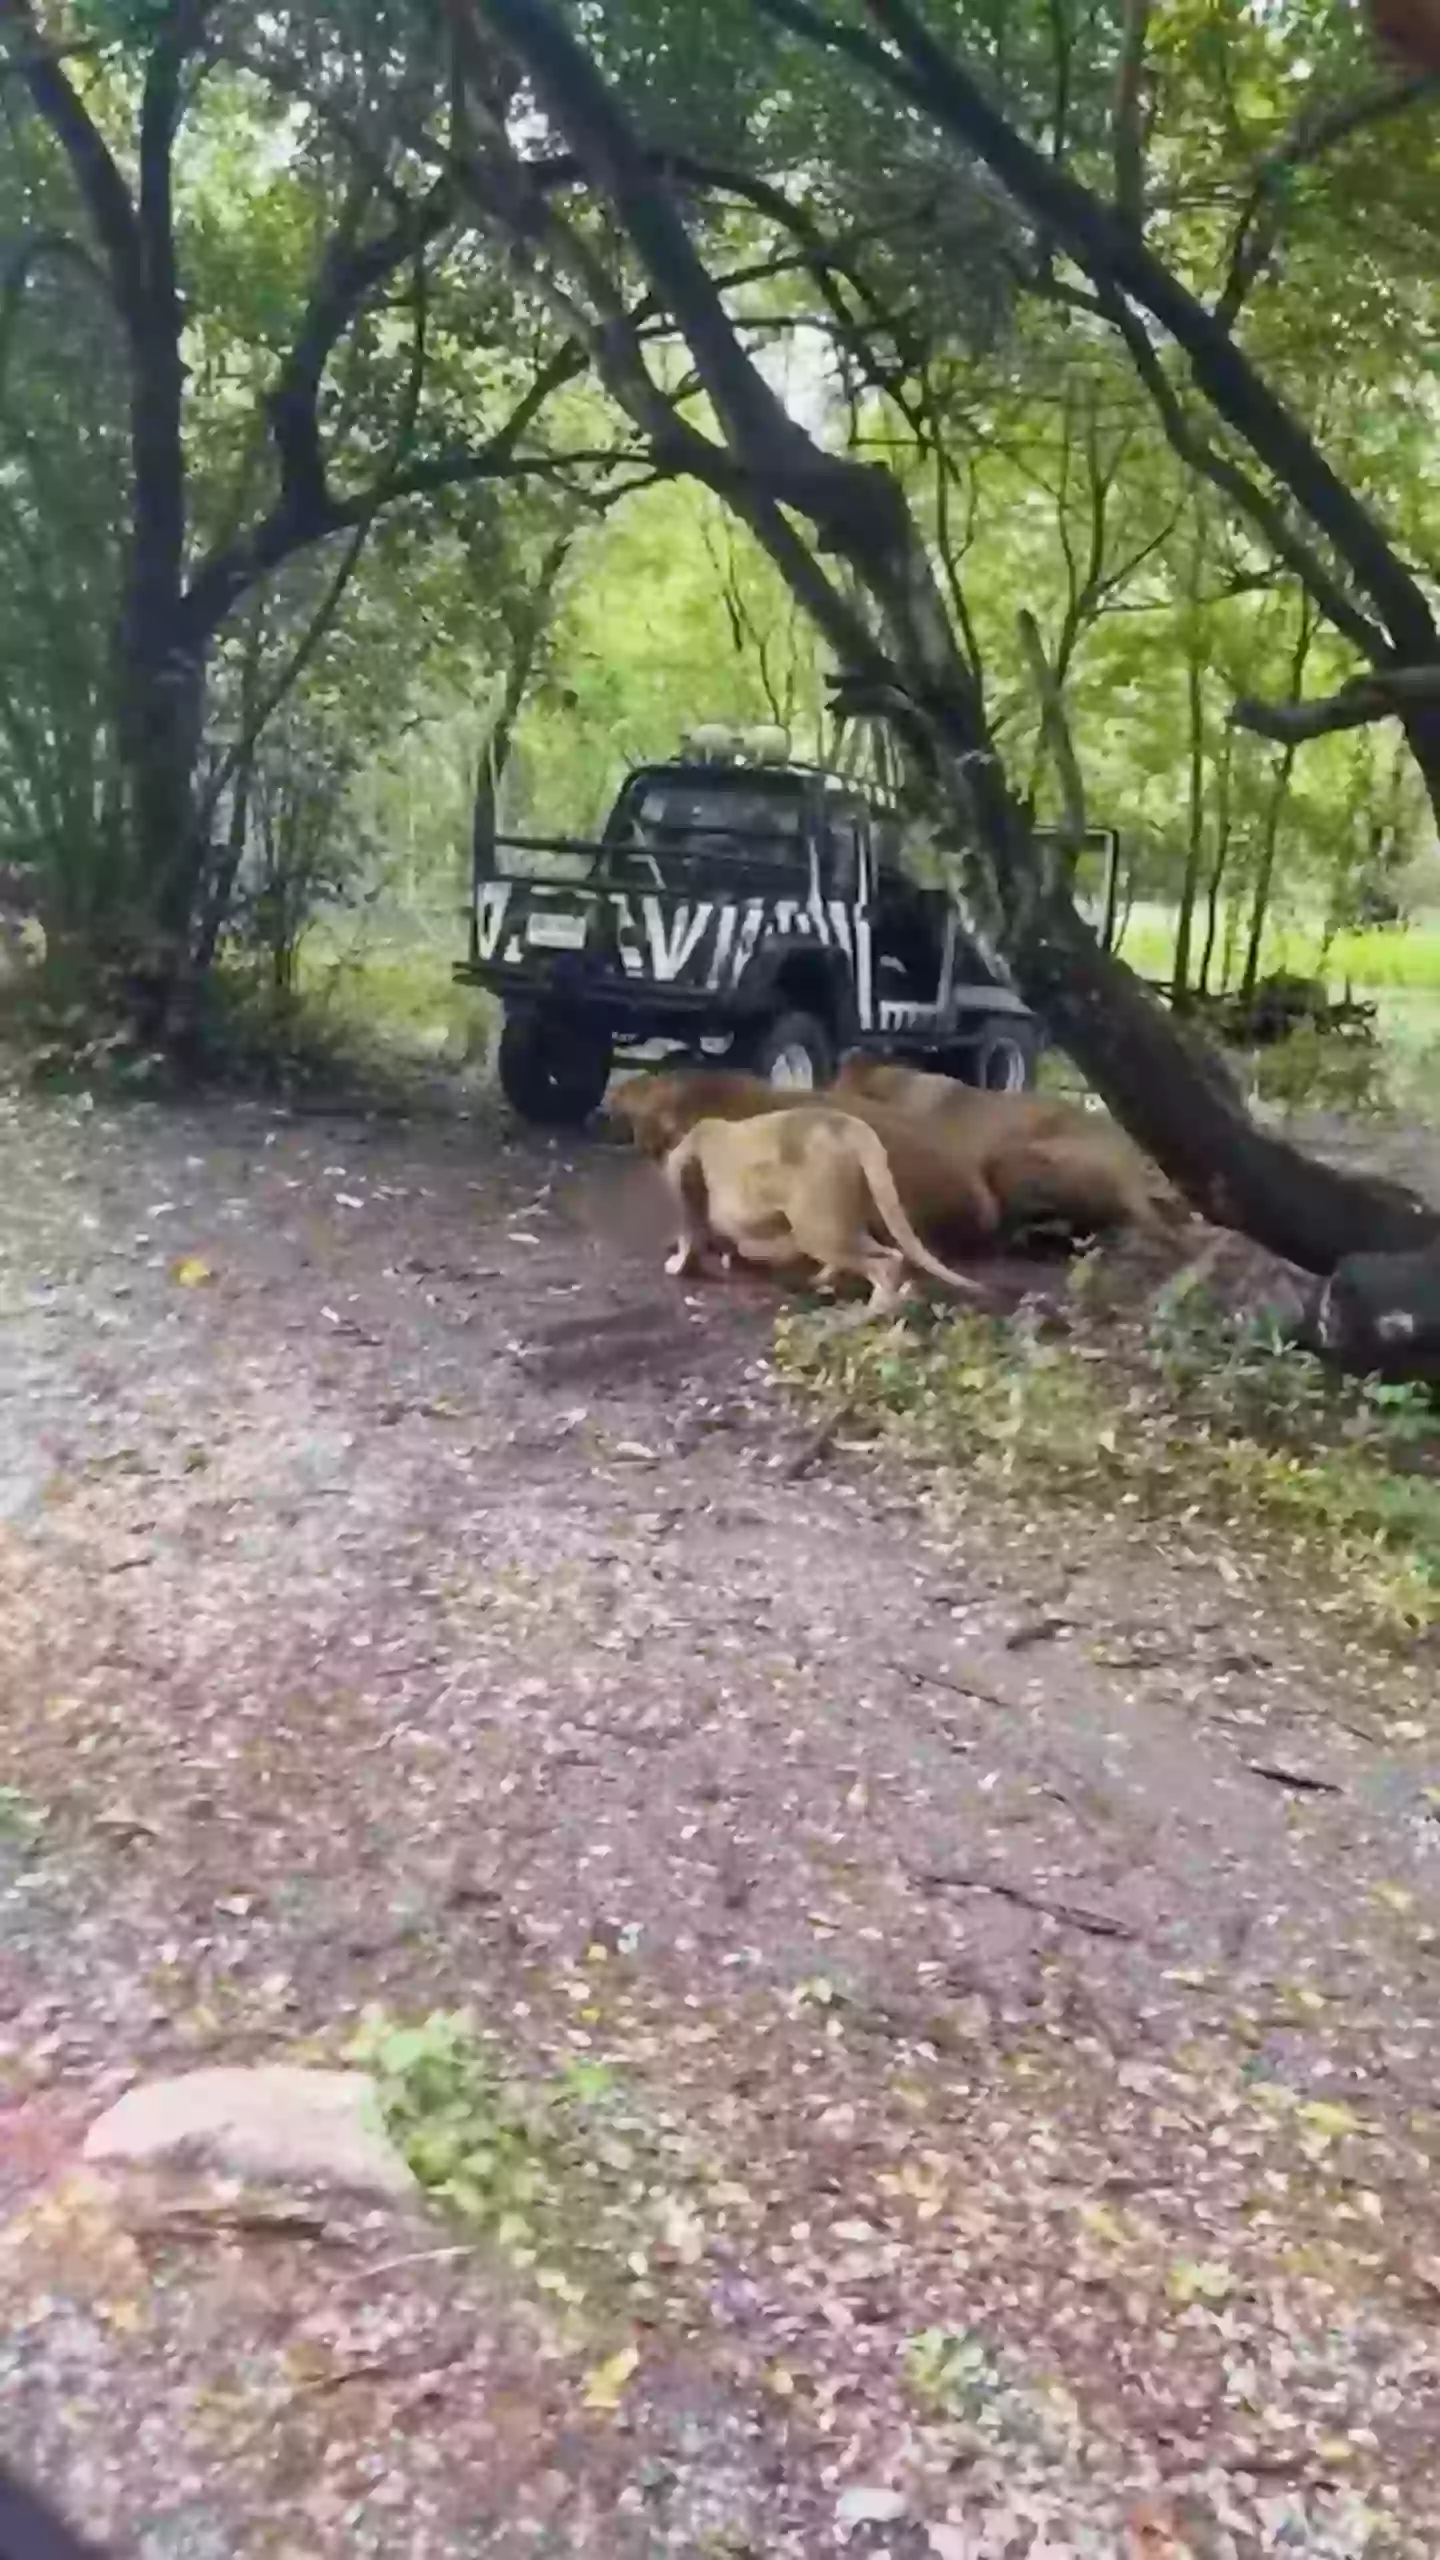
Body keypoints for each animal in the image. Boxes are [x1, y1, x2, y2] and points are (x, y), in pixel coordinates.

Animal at [661, 1107, 985, 1313]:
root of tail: (850, 1125)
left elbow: (690, 1234)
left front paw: (682, 1263)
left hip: (817, 1231)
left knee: (883, 1264)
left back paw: (866, 1315)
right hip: (841, 1224)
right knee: (893, 1255)